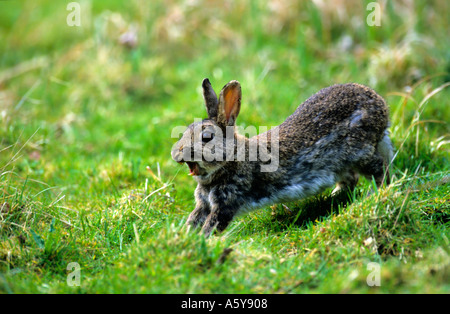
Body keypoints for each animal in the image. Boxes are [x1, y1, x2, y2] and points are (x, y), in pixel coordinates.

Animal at [171, 77, 392, 237]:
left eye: (206, 137)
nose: (176, 154)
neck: (231, 160)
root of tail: (381, 107)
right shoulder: (204, 204)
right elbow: (194, 219)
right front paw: (184, 236)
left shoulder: (227, 202)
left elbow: (212, 224)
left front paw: (200, 240)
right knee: (351, 179)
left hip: (360, 152)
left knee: (380, 170)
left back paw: (377, 193)